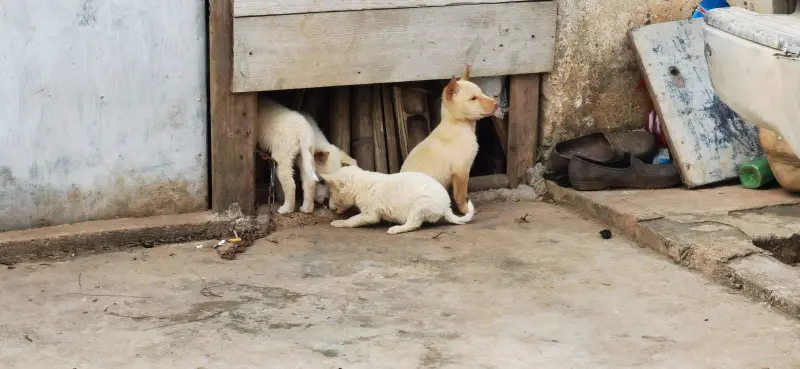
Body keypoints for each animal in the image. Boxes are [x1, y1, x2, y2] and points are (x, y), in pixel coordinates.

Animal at [320, 165, 472, 234]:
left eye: (332, 192)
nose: (330, 207)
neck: (360, 185)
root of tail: (446, 206)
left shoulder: (370, 214)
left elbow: (352, 220)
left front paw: (339, 222)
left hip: (419, 205)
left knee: (413, 224)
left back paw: (396, 229)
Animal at [398, 67, 496, 213]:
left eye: (482, 93)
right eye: (473, 98)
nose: (496, 104)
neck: (458, 125)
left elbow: (454, 194)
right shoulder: (461, 171)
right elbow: (460, 195)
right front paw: (466, 211)